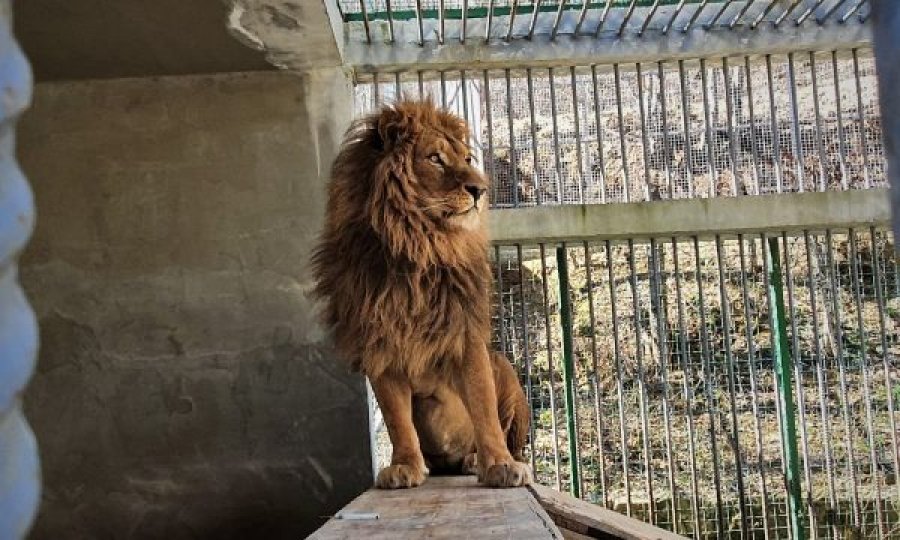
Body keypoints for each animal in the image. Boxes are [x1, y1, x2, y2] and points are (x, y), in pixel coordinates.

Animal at [312, 98, 532, 490]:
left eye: (467, 159)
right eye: (435, 158)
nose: (481, 189)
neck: (417, 247)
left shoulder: (466, 337)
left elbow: (483, 408)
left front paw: (499, 465)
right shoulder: (379, 345)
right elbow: (398, 420)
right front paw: (404, 466)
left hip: (504, 367)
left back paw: (478, 459)